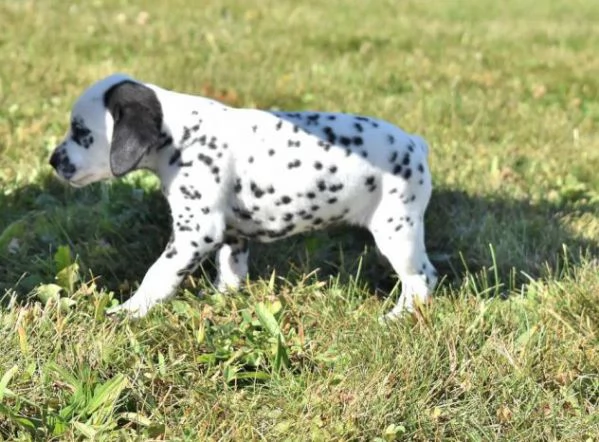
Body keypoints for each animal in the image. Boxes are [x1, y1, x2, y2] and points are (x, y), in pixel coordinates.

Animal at [49, 74, 438, 320]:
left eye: (81, 132)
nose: (53, 161)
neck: (184, 136)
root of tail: (415, 143)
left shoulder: (195, 233)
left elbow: (157, 275)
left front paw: (129, 312)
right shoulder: (231, 234)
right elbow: (230, 273)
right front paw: (220, 300)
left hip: (396, 232)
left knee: (421, 280)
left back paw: (397, 318)